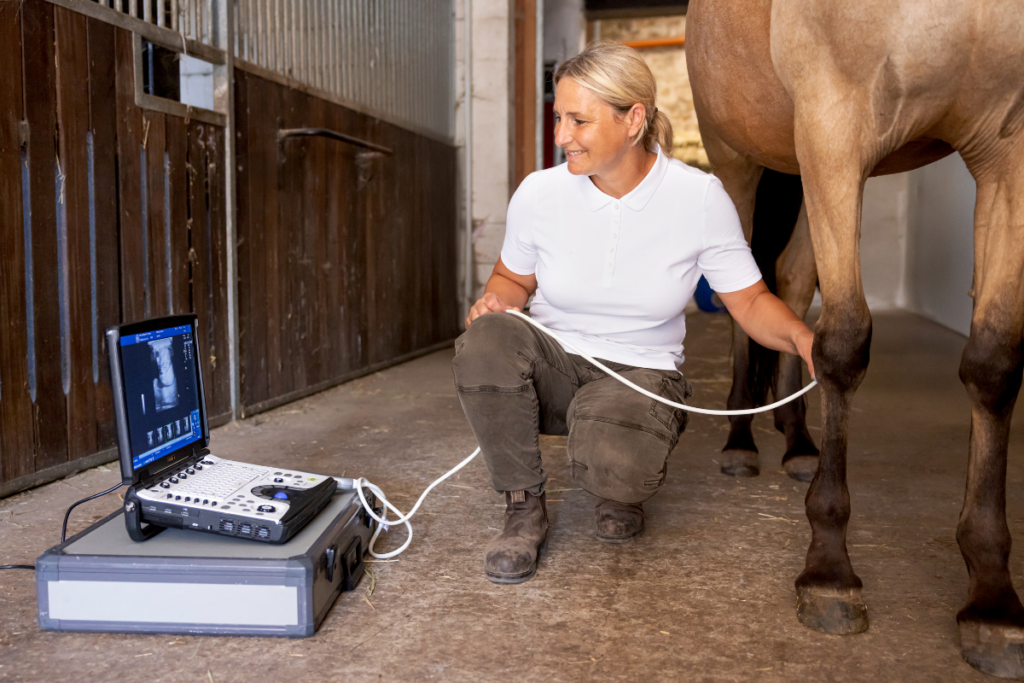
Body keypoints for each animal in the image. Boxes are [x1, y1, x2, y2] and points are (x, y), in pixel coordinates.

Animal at [686, 0, 1024, 676]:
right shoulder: (834, 125)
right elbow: (843, 345)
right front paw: (829, 571)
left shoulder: (1009, 152)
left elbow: (994, 363)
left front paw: (992, 600)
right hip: (740, 155)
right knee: (745, 280)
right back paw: (740, 437)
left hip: (802, 163)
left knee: (791, 279)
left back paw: (796, 441)